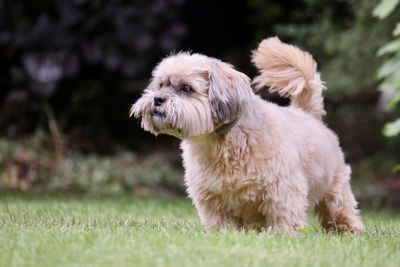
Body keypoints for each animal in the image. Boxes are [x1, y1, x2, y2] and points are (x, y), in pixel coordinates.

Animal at [131, 36, 366, 233]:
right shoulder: (211, 197)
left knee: (340, 209)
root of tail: (306, 113)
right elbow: (221, 223)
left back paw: (351, 231)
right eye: (162, 85)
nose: (158, 99)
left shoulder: (283, 188)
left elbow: (285, 217)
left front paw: (284, 235)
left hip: (335, 189)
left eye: (187, 88)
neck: (224, 142)